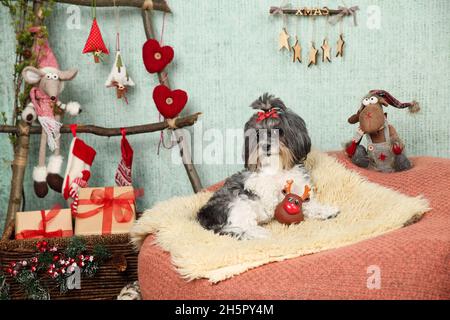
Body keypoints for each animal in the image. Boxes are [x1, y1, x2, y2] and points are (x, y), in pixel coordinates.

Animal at [197, 94, 338, 240]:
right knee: (239, 227)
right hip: (235, 203)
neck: (278, 167)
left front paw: (324, 211)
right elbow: (266, 185)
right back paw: (259, 232)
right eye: (258, 134)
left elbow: (308, 203)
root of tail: (203, 218)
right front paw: (270, 204)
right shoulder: (252, 179)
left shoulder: (299, 185)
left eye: (279, 131)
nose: (266, 145)